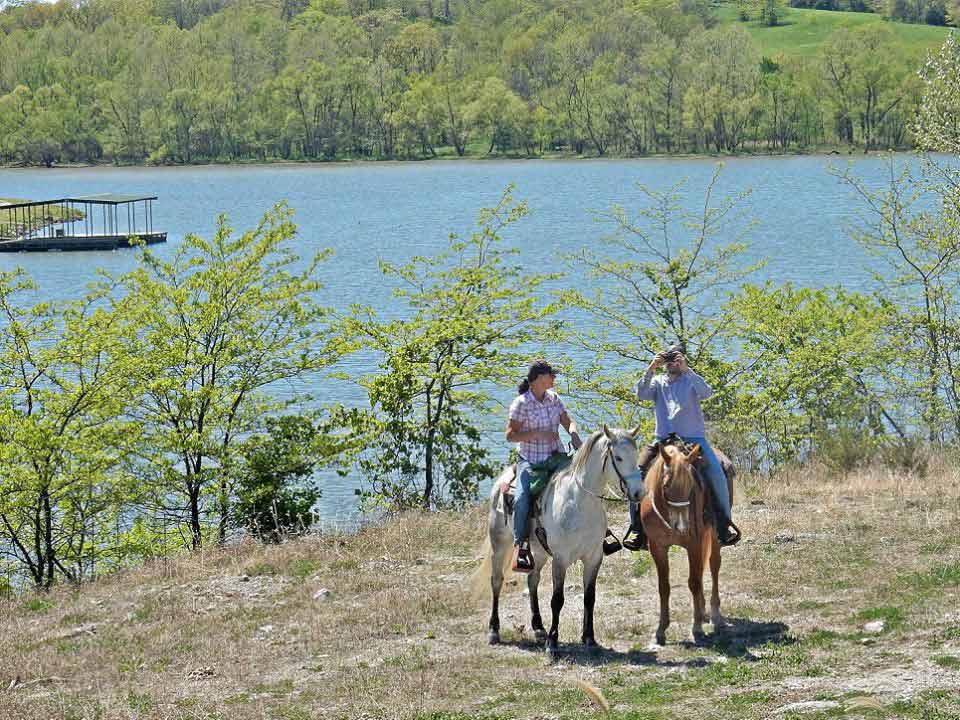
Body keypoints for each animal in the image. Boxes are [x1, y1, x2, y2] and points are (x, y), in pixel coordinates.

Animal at [480, 425, 646, 656]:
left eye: (636, 455)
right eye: (619, 458)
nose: (639, 492)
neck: (580, 503)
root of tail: (502, 480)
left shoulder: (594, 557)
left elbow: (590, 597)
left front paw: (589, 638)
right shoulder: (560, 559)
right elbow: (557, 600)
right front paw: (553, 642)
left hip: (539, 551)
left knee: (532, 580)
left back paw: (538, 628)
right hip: (499, 544)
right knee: (496, 581)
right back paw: (494, 631)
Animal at [639, 442, 735, 645]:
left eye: (691, 485)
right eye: (666, 485)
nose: (681, 526)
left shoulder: (694, 544)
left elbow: (694, 582)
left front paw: (696, 627)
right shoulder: (658, 548)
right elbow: (664, 587)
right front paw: (661, 630)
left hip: (713, 536)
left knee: (713, 566)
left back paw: (715, 616)